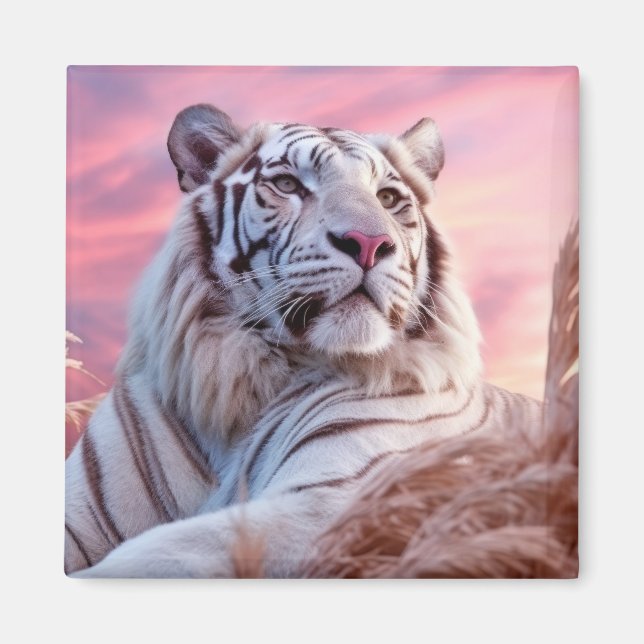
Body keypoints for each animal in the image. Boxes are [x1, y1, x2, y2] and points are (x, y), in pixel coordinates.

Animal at [65, 104, 542, 578]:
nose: (370, 243)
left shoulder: (334, 503)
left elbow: (154, 557)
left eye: (388, 198)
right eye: (288, 185)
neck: (240, 384)